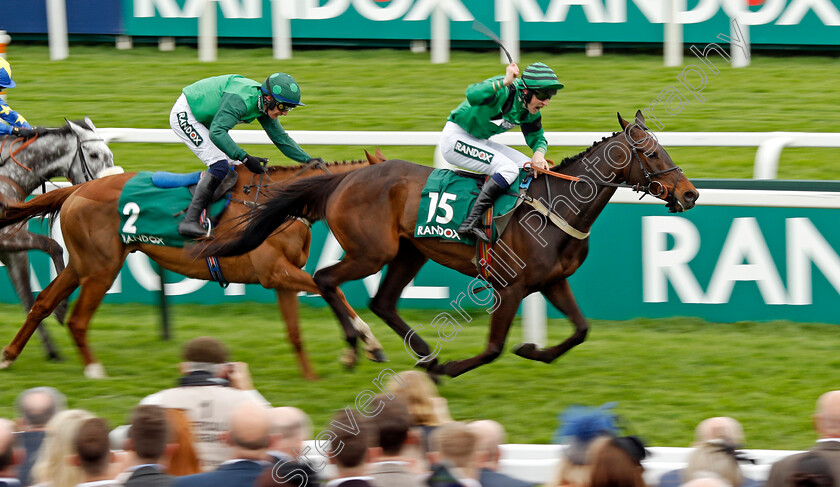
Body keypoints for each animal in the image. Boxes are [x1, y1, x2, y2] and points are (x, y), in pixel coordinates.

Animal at [0, 117, 121, 362]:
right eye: (94, 155)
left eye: (110, 154)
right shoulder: (7, 239)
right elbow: (54, 245)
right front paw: (61, 307)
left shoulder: (12, 251)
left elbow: (26, 296)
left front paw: (51, 350)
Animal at [0, 158, 386, 380]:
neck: (279, 205)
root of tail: (77, 189)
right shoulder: (274, 272)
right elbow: (328, 287)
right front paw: (361, 345)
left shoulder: (281, 279)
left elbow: (297, 329)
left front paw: (319, 374)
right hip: (101, 268)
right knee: (78, 319)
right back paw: (94, 370)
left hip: (81, 264)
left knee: (42, 303)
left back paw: (8, 357)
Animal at [200, 112, 700, 380]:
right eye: (651, 153)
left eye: (664, 149)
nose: (691, 193)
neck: (555, 205)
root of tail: (347, 177)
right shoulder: (511, 287)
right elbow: (494, 347)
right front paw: (459, 366)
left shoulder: (553, 281)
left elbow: (580, 330)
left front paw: (533, 350)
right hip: (372, 252)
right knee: (325, 279)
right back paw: (364, 347)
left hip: (408, 252)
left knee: (382, 302)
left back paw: (423, 355)